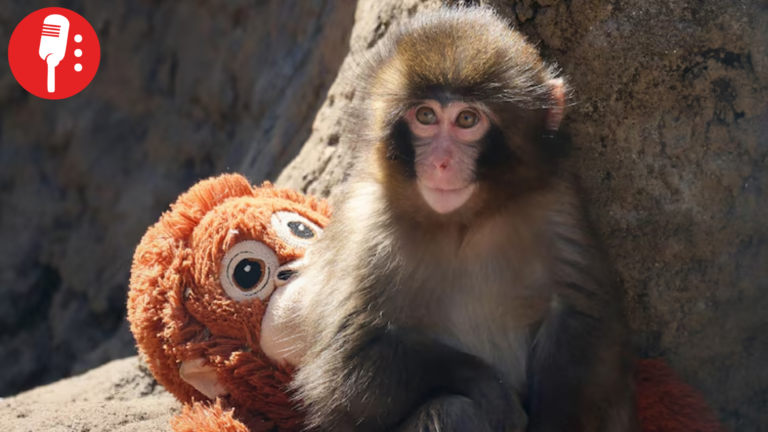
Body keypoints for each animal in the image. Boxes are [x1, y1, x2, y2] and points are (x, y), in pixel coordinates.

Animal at [270, 7, 637, 432]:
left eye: (466, 120)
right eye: (426, 115)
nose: (441, 162)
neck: (464, 221)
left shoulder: (557, 201)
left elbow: (583, 320)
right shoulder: (366, 225)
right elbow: (343, 370)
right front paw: (492, 390)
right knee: (450, 409)